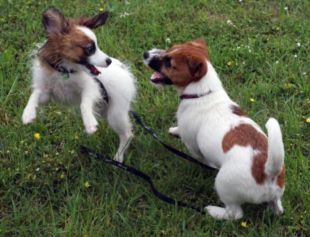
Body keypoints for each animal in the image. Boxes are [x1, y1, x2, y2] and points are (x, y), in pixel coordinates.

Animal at [22, 8, 136, 162]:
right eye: (90, 48)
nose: (108, 61)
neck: (65, 71)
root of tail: (123, 69)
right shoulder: (46, 93)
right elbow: (34, 94)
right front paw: (28, 113)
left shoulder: (91, 88)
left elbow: (84, 104)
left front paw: (89, 122)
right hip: (105, 109)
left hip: (115, 114)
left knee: (127, 134)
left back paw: (118, 157)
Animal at [144, 39, 284, 220]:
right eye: (169, 49)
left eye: (169, 63)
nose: (145, 54)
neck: (203, 92)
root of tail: (267, 170)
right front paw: (175, 130)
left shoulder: (193, 145)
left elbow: (199, 155)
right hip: (276, 193)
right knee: (277, 207)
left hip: (223, 184)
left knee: (235, 214)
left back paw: (213, 211)